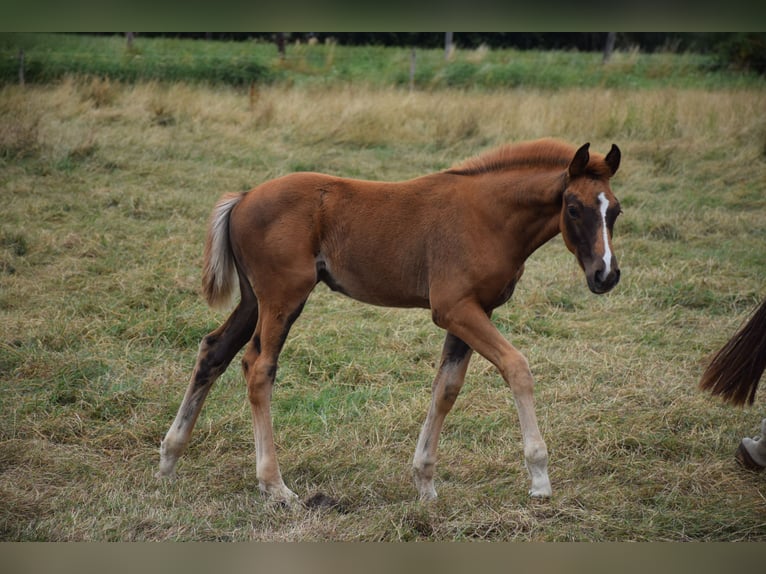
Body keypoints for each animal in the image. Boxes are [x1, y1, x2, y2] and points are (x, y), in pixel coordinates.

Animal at [156, 138, 623, 505]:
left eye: (615, 211)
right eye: (573, 208)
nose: (606, 274)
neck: (489, 215)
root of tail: (244, 196)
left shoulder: (473, 311)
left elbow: (446, 388)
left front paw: (425, 482)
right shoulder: (454, 308)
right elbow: (517, 367)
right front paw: (540, 476)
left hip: (254, 299)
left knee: (213, 351)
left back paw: (169, 459)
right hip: (283, 297)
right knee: (258, 367)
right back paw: (274, 485)